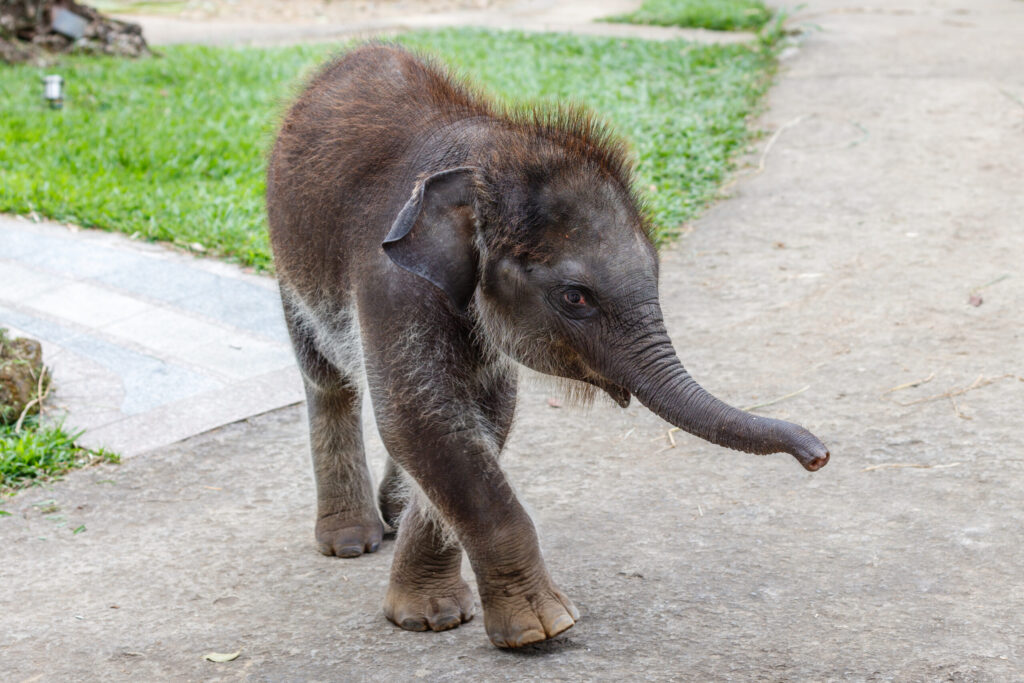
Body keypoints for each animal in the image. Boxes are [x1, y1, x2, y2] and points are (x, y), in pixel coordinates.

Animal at [266, 43, 830, 649]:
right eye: (575, 297)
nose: (819, 456)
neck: (490, 155)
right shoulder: (392, 282)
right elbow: (420, 419)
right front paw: (539, 628)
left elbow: (482, 418)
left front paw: (434, 614)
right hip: (285, 259)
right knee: (327, 379)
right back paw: (351, 540)